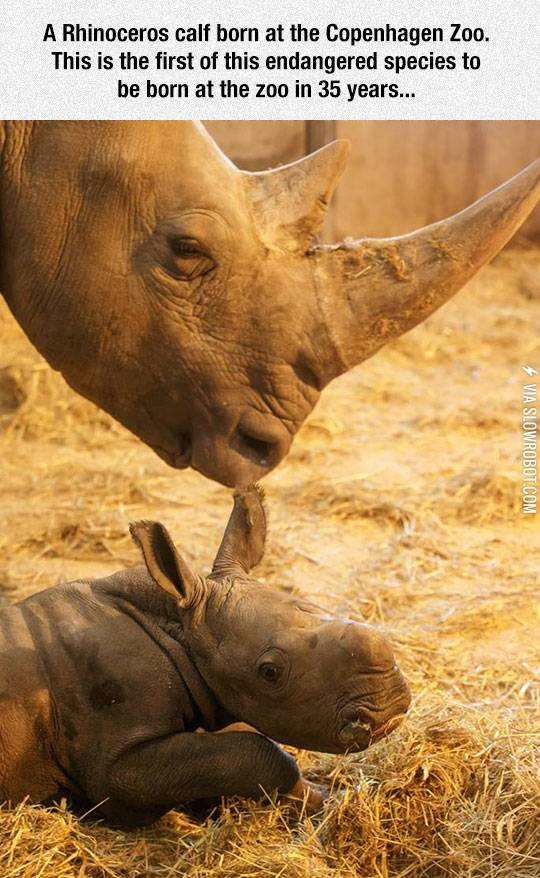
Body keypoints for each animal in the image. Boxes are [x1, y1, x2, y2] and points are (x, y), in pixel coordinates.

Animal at [0, 486, 409, 827]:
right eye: (270, 672)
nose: (392, 706)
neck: (178, 628)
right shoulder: (114, 766)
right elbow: (256, 752)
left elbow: (239, 741)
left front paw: (319, 798)